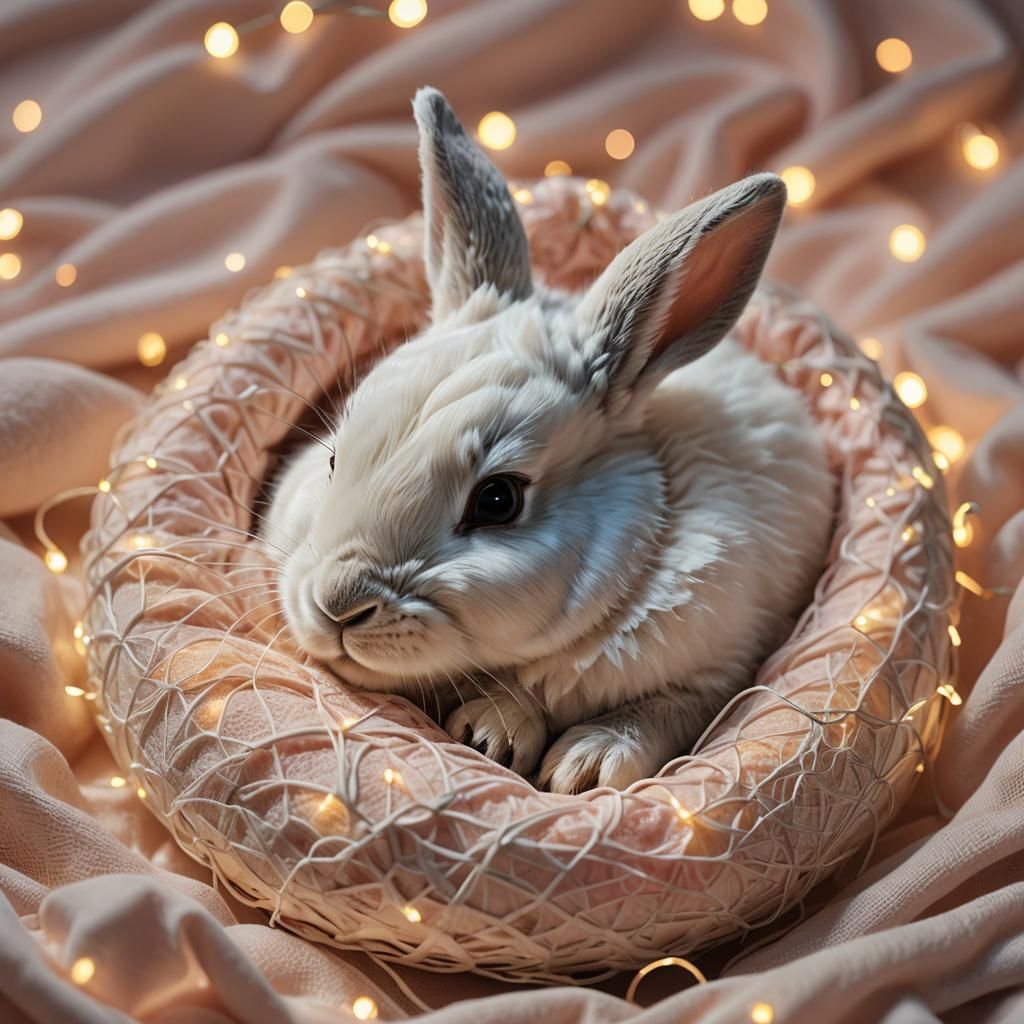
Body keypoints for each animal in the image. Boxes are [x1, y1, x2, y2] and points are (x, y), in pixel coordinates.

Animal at [263, 87, 833, 795]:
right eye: (334, 458)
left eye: (498, 500)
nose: (339, 604)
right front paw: (492, 734)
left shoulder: (726, 660)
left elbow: (667, 708)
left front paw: (579, 767)